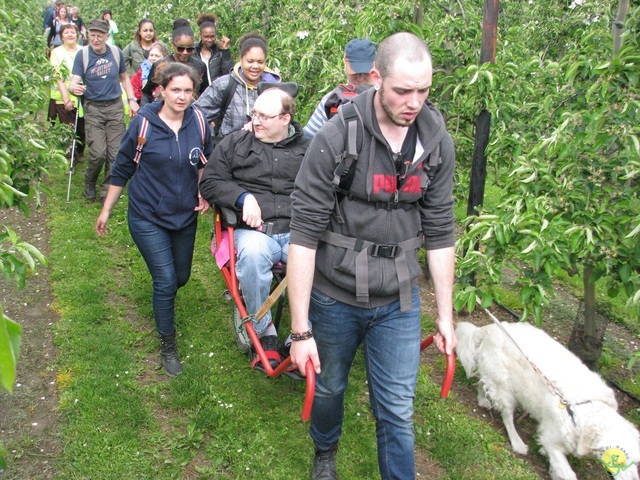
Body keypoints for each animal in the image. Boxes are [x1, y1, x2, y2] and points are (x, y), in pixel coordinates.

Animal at [458, 320, 636, 480]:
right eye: (620, 459)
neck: (580, 409)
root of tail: (492, 328)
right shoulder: (551, 438)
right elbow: (567, 473)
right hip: (505, 386)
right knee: (507, 416)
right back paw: (517, 442)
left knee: (482, 382)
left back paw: (482, 400)